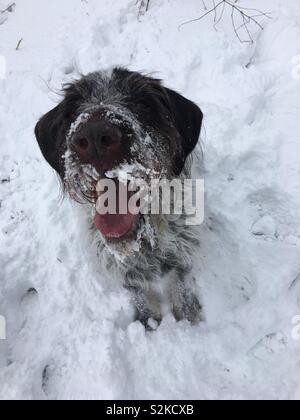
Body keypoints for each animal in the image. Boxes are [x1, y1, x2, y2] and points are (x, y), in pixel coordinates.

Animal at [35, 67, 204, 330]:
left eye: (143, 102)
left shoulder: (181, 253)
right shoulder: (121, 270)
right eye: (73, 108)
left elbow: (182, 284)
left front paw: (188, 321)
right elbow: (138, 294)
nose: (94, 135)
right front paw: (150, 324)